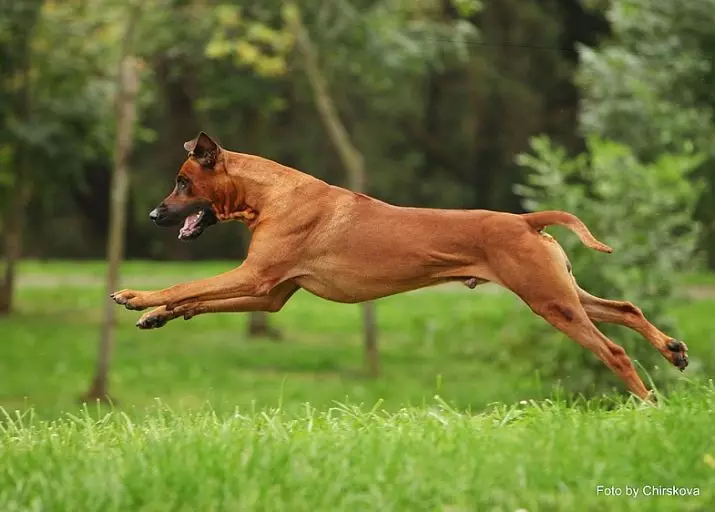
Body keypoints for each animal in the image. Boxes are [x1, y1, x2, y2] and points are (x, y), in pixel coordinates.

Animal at [112, 131, 688, 400]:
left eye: (182, 182)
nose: (154, 214)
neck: (272, 194)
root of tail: (526, 220)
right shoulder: (269, 292)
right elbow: (199, 299)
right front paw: (156, 316)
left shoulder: (256, 277)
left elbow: (189, 284)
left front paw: (138, 297)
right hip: (560, 292)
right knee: (626, 307)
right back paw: (672, 350)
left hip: (550, 302)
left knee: (614, 351)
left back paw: (648, 402)